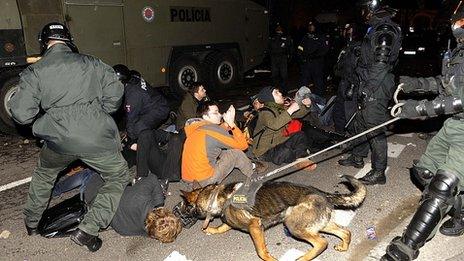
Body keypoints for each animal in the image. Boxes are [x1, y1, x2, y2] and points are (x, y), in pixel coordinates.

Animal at [181, 175, 366, 260]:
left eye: (184, 206)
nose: (180, 216)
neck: (215, 196)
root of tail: (322, 193)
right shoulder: (234, 222)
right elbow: (223, 226)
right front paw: (212, 229)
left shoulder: (255, 226)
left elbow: (261, 250)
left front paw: (270, 258)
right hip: (319, 224)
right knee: (345, 232)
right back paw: (343, 247)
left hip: (292, 223)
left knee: (322, 242)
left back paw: (303, 258)